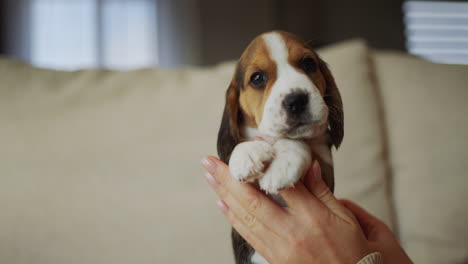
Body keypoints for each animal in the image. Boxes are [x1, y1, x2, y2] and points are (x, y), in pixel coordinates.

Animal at [217, 31, 344, 264]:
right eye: (257, 78)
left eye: (308, 64)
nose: (297, 100)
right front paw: (247, 154)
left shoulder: (324, 169)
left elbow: (298, 142)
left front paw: (283, 165)